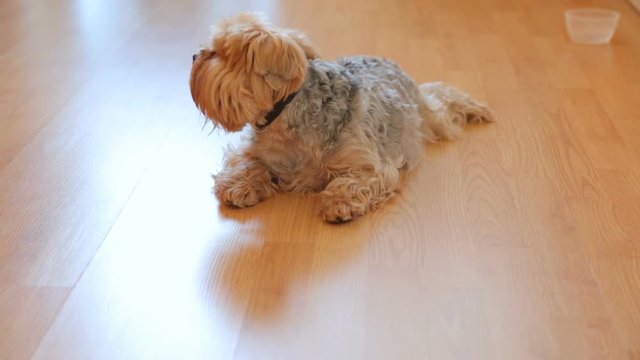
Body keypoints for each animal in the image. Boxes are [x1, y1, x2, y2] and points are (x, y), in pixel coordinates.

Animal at [188, 13, 492, 222]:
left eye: (217, 52)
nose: (193, 55)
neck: (285, 115)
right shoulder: (253, 150)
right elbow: (246, 163)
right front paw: (240, 185)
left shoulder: (371, 164)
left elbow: (356, 180)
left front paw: (339, 201)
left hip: (428, 114)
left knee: (443, 98)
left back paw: (477, 108)